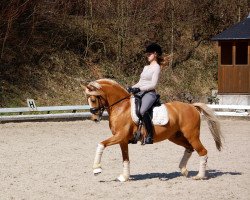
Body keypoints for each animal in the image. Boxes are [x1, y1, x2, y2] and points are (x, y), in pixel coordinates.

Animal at [84, 79, 223, 182]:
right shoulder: (122, 140)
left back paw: (199, 176)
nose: (94, 118)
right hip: (175, 137)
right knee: (189, 148)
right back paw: (183, 170)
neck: (121, 107)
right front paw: (124, 177)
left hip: (192, 135)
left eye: (93, 99)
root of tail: (192, 106)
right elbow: (125, 158)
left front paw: (96, 169)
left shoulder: (120, 136)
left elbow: (101, 144)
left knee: (202, 151)